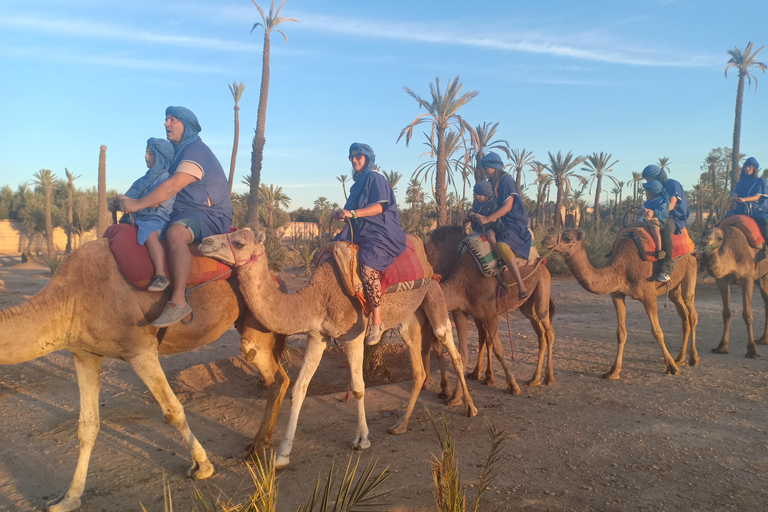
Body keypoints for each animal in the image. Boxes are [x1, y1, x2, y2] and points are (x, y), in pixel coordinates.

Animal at [0, 239, 284, 512]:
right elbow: (87, 426)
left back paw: (259, 449)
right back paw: (261, 444)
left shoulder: (140, 350)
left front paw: (203, 466)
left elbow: (172, 410)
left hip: (257, 322)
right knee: (279, 379)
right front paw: (68, 499)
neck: (69, 297)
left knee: (275, 377)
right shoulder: (84, 354)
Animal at [198, 230, 476, 470]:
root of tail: (429, 264)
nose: (205, 242)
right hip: (409, 317)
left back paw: (469, 408)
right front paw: (282, 455)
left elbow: (358, 387)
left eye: (239, 242)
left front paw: (362, 440)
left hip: (434, 294)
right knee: (417, 366)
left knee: (450, 347)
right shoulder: (316, 336)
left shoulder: (353, 336)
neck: (317, 296)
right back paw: (400, 424)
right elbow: (299, 389)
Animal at [424, 224, 556, 396]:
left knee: (548, 328)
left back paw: (549, 377)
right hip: (527, 306)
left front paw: (502, 382)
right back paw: (535, 378)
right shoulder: (466, 312)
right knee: (540, 332)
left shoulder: (489, 314)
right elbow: (477, 342)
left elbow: (494, 345)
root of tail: (542, 260)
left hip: (542, 285)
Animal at [540, 230, 704, 378]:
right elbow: (621, 332)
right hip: (674, 288)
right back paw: (680, 359)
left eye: (568, 237)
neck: (622, 268)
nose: (546, 239)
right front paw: (613, 371)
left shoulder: (649, 296)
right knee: (683, 314)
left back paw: (693, 359)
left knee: (692, 311)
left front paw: (671, 367)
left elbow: (657, 332)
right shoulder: (617, 294)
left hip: (691, 269)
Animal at [700, 226, 764, 358]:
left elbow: (747, 314)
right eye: (703, 233)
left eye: (720, 238)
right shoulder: (721, 280)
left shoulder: (747, 278)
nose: (705, 241)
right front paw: (721, 347)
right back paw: (763, 339)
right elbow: (726, 313)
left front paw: (752, 351)